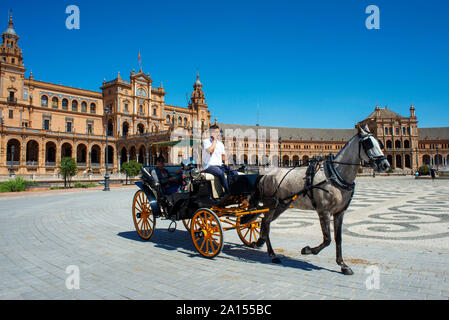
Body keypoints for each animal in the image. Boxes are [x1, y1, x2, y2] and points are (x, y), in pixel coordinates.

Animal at [247, 124, 390, 274]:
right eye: (368, 143)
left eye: (380, 143)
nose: (385, 165)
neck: (335, 174)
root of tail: (265, 174)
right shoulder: (324, 211)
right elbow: (327, 239)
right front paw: (307, 250)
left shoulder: (340, 212)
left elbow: (338, 238)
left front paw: (343, 265)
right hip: (271, 204)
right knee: (266, 223)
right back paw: (272, 254)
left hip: (281, 205)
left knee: (264, 222)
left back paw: (259, 242)